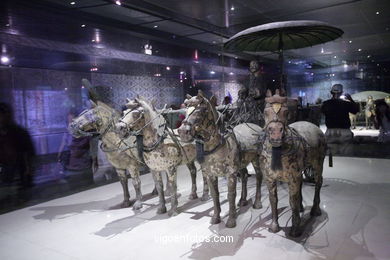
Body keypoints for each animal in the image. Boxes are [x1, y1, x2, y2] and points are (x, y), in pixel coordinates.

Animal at [178, 91, 264, 228]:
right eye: (186, 111)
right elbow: (215, 194)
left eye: (203, 109)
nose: (182, 132)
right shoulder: (211, 174)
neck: (219, 145)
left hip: (256, 159)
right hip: (242, 164)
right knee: (245, 176)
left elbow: (231, 194)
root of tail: (256, 126)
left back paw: (257, 203)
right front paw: (215, 218)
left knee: (259, 177)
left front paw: (231, 220)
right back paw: (243, 201)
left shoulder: (231, 174)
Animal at [260, 88, 328, 237]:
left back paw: (315, 210)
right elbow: (273, 199)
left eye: (286, 112)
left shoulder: (293, 179)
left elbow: (293, 200)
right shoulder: (270, 179)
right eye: (265, 112)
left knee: (318, 183)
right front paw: (274, 226)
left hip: (318, 164)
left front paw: (295, 229)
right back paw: (302, 208)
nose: (276, 135)